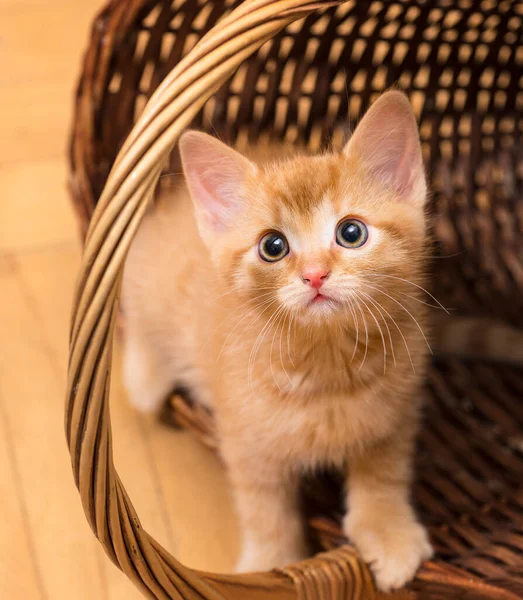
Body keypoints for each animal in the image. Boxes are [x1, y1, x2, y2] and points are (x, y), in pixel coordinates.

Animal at [122, 91, 434, 592]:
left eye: (351, 233)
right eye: (273, 246)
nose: (315, 275)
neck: (326, 365)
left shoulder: (398, 410)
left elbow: (385, 472)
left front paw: (389, 532)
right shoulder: (244, 440)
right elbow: (264, 509)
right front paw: (271, 561)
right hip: (149, 274)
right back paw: (145, 377)